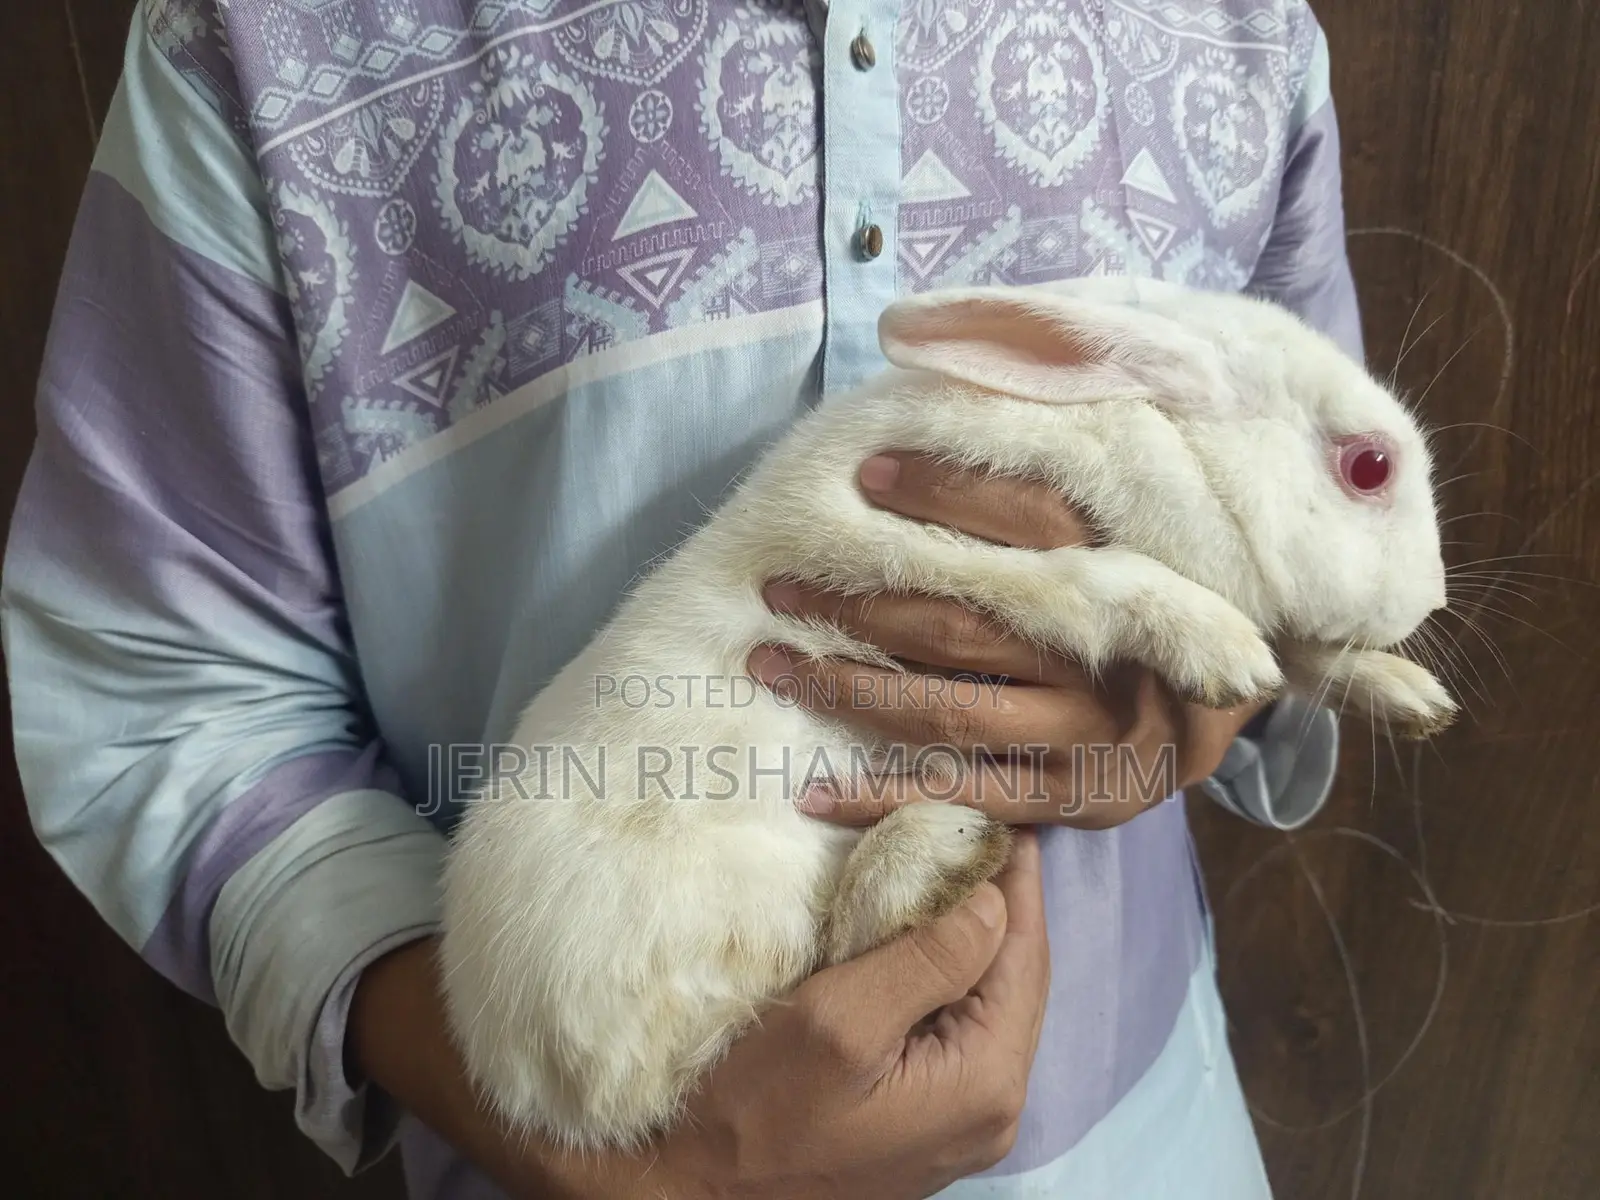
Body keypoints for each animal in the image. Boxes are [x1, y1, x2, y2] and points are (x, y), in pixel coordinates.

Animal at [436, 274, 1458, 1153]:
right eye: (1369, 467)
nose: (1432, 600)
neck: (1158, 434)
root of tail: (526, 1077)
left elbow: (1309, 655)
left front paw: (1410, 697)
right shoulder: (933, 553)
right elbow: (1101, 583)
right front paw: (1222, 650)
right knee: (816, 963)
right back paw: (936, 854)